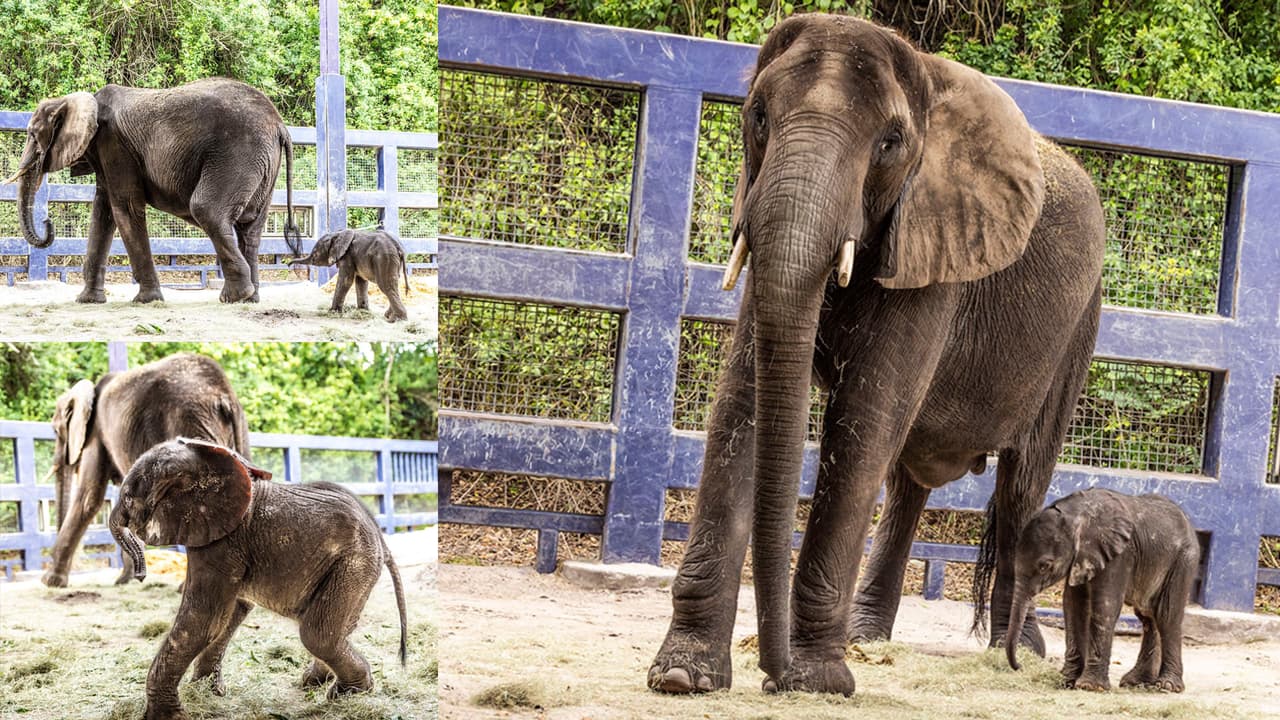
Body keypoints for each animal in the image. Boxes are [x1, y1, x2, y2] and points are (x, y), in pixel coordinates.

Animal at [3, 78, 301, 304]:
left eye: (32, 136)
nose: (47, 222)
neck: (79, 99)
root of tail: (280, 126)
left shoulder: (114, 145)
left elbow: (124, 207)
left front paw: (146, 300)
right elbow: (103, 213)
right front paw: (87, 301)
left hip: (238, 153)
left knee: (207, 210)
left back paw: (235, 296)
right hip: (262, 165)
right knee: (250, 228)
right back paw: (250, 299)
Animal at [42, 352, 248, 588]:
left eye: (56, 431)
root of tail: (223, 393)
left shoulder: (96, 432)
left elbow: (88, 497)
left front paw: (50, 582)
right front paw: (124, 581)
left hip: (188, 419)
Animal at [109, 438, 408, 720]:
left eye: (128, 495)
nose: (140, 576)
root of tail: (380, 538)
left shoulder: (223, 542)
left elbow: (205, 619)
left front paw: (167, 716)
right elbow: (231, 613)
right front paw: (207, 693)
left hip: (353, 562)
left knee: (318, 633)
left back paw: (348, 693)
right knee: (339, 626)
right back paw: (315, 682)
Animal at [649, 14, 1105, 696]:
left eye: (891, 143)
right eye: (758, 117)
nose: (772, 675)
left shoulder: (935, 251)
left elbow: (862, 421)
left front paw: (816, 681)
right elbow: (741, 406)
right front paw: (684, 676)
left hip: (1076, 330)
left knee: (1021, 483)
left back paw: (1015, 652)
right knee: (908, 481)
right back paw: (868, 638)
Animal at [1006, 488, 1199, 693]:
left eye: (1044, 566)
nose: (1020, 666)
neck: (1077, 514)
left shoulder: (1120, 554)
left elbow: (1105, 604)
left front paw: (1090, 687)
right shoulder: (1082, 557)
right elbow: (1073, 605)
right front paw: (1066, 681)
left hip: (1184, 560)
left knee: (1166, 615)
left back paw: (1167, 686)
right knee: (1148, 616)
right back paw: (1135, 682)